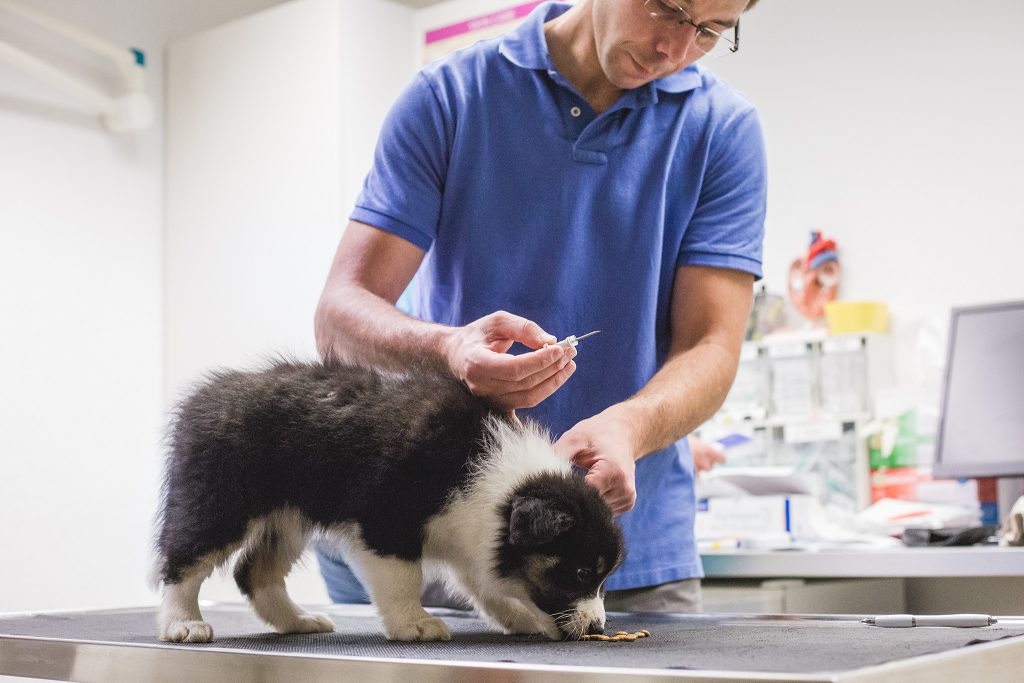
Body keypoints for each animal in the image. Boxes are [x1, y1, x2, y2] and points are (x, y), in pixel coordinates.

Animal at [153, 360, 622, 643]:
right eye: (582, 572)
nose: (597, 626)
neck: (494, 479)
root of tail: (203, 399)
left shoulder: (471, 532)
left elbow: (484, 586)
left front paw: (519, 617)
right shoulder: (386, 521)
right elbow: (403, 579)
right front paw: (414, 624)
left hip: (288, 517)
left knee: (253, 572)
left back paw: (297, 621)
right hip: (220, 501)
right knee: (182, 562)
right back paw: (183, 624)